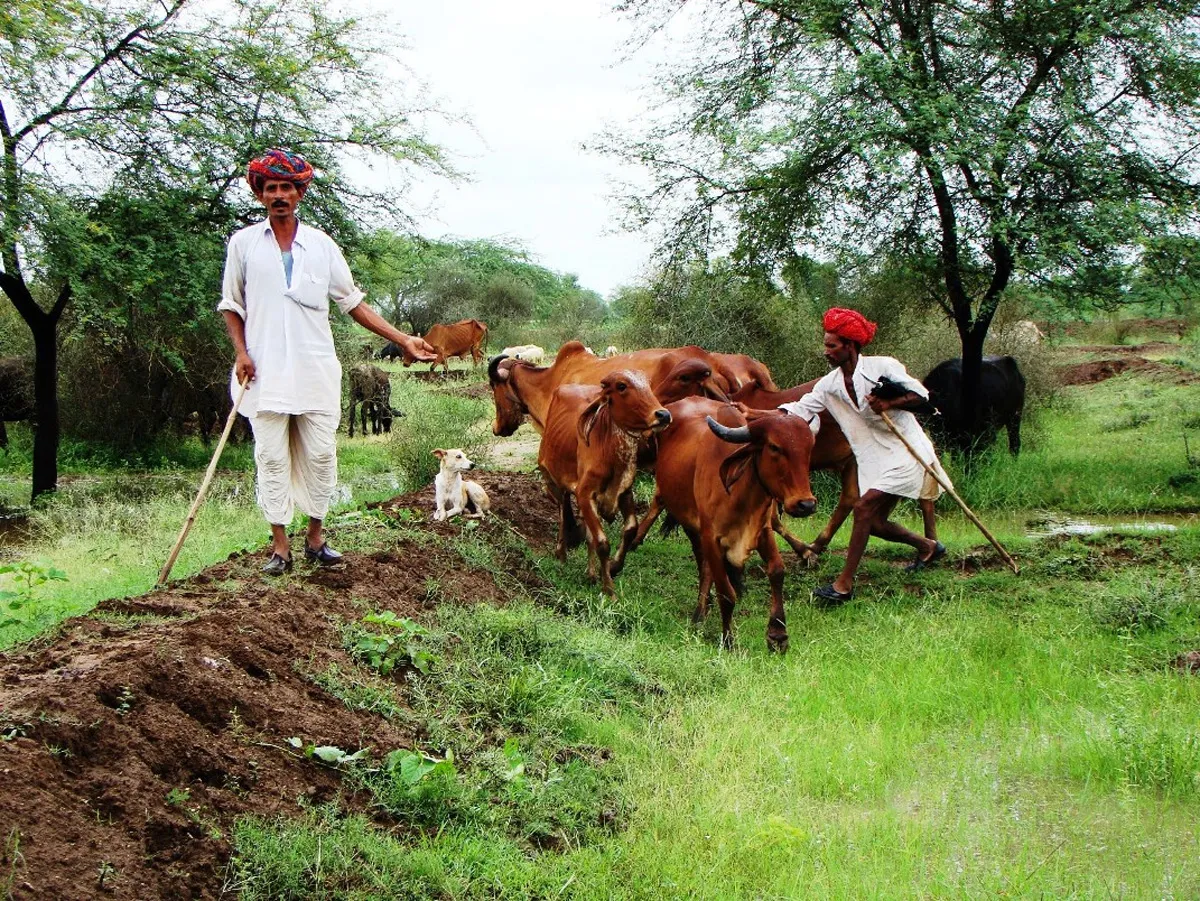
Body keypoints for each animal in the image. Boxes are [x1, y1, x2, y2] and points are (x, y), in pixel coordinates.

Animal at [537, 369, 672, 595]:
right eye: (621, 386)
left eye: (648, 384)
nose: (663, 415)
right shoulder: (584, 495)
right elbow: (601, 541)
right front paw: (609, 588)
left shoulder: (625, 492)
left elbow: (630, 529)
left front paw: (613, 567)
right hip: (554, 481)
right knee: (563, 515)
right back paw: (561, 554)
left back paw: (591, 573)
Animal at [628, 398, 816, 652]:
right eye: (774, 447)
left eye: (808, 449)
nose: (806, 504)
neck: (739, 495)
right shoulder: (711, 537)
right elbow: (726, 593)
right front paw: (728, 640)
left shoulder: (762, 531)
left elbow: (777, 571)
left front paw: (778, 634)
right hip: (690, 523)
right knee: (703, 563)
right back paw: (699, 612)